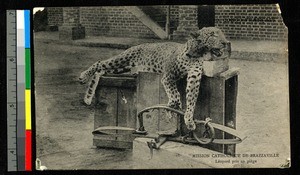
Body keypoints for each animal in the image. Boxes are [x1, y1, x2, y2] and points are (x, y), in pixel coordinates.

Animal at [78, 26, 231, 130]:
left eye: (221, 33)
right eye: (212, 34)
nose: (225, 42)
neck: (197, 52)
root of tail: (137, 45)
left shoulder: (194, 77)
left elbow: (191, 99)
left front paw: (188, 119)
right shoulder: (168, 76)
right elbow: (175, 94)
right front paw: (172, 106)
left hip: (122, 68)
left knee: (101, 70)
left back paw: (88, 96)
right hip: (122, 60)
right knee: (99, 63)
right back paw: (83, 77)